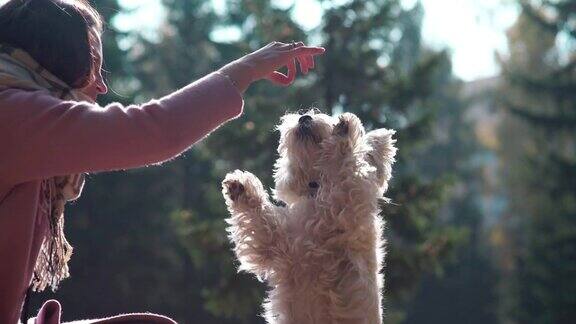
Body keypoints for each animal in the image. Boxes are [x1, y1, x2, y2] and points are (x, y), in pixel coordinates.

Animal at [220, 110, 396, 322]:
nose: (304, 117)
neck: (315, 190)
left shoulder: (346, 202)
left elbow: (342, 164)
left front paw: (343, 133)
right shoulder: (280, 242)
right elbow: (262, 222)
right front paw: (240, 187)